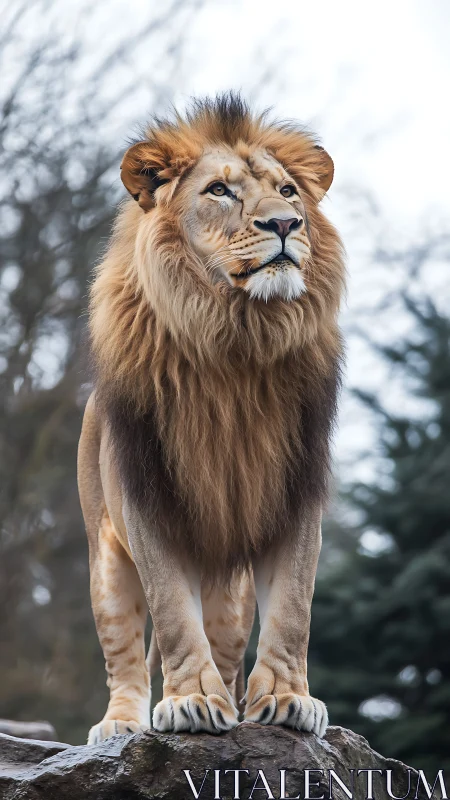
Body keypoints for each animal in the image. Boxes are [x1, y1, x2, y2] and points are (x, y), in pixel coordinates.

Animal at [78, 93, 345, 744]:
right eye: (219, 190)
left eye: (288, 191)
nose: (285, 224)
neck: (237, 338)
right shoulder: (146, 500)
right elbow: (173, 615)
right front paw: (192, 702)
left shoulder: (296, 495)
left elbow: (293, 610)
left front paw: (288, 700)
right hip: (105, 559)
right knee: (125, 653)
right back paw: (120, 725)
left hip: (232, 589)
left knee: (225, 641)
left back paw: (235, 696)